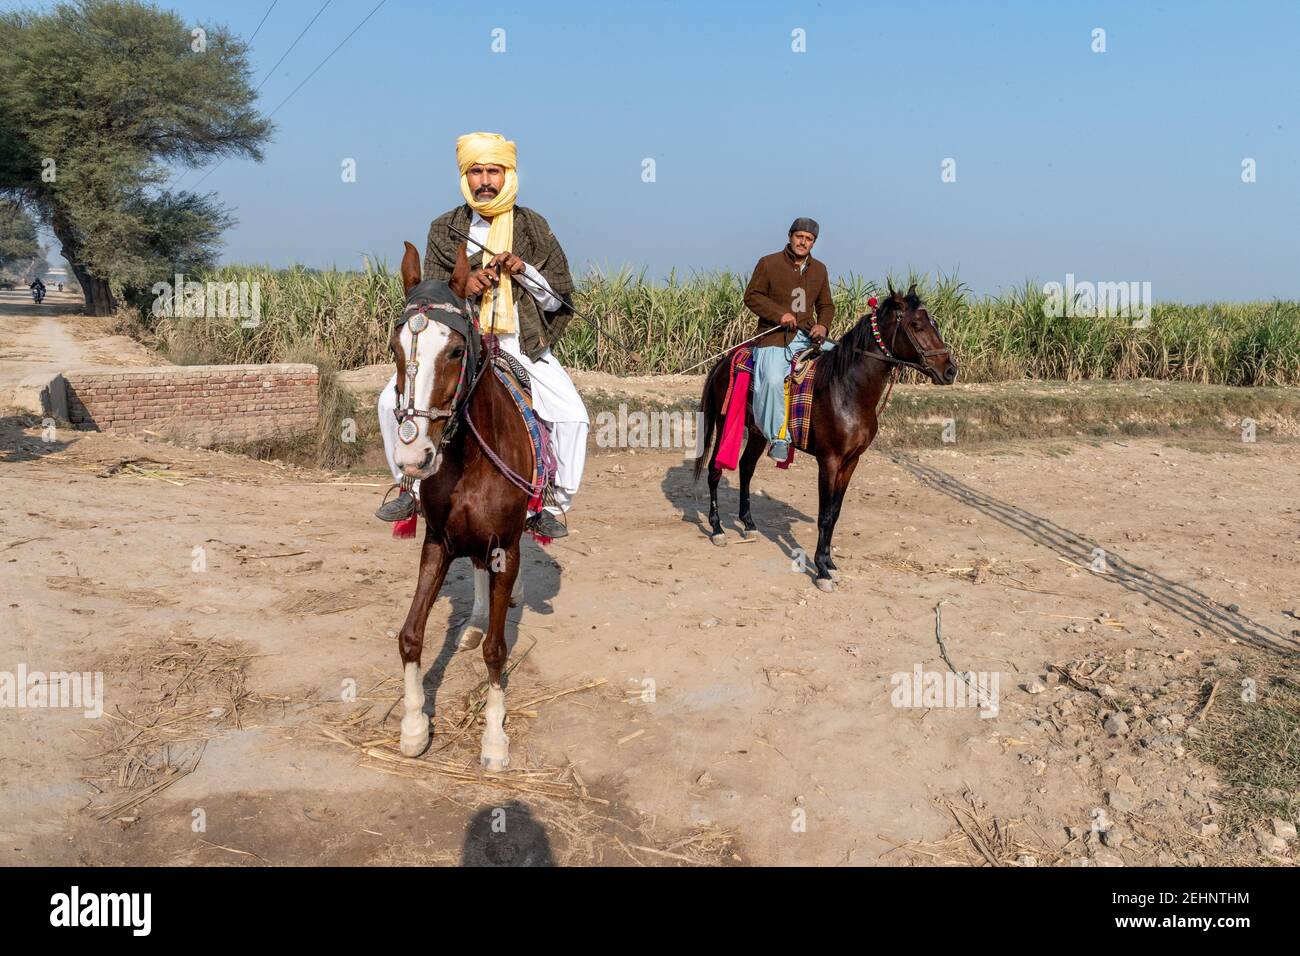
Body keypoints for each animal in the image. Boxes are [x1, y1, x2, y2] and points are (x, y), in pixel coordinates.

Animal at [387, 240, 530, 770]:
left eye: (454, 350)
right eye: (396, 350)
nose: (414, 457)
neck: (469, 456)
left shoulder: (506, 545)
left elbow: (497, 650)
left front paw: (493, 741)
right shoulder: (438, 541)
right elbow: (410, 634)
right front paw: (414, 727)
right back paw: (472, 623)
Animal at [696, 286, 961, 590]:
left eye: (935, 323)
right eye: (916, 325)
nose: (950, 370)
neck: (846, 390)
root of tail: (724, 361)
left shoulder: (851, 461)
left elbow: (834, 512)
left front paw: (831, 564)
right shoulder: (829, 461)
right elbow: (824, 515)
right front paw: (821, 570)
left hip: (758, 432)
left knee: (746, 468)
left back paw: (748, 524)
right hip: (725, 424)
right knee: (715, 470)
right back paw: (717, 528)